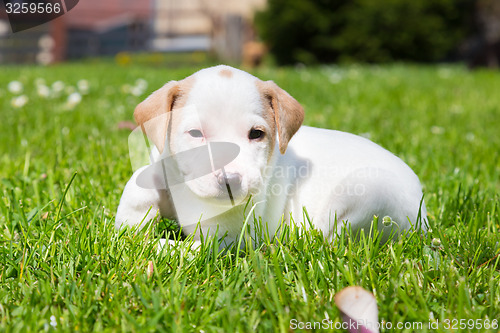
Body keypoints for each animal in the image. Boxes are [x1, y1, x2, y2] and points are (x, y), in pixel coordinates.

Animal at [115, 65, 428, 246]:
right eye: (195, 133)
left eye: (256, 134)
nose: (230, 181)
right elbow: (139, 182)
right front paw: (130, 223)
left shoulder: (226, 237)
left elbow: (185, 250)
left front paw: (153, 247)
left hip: (366, 191)